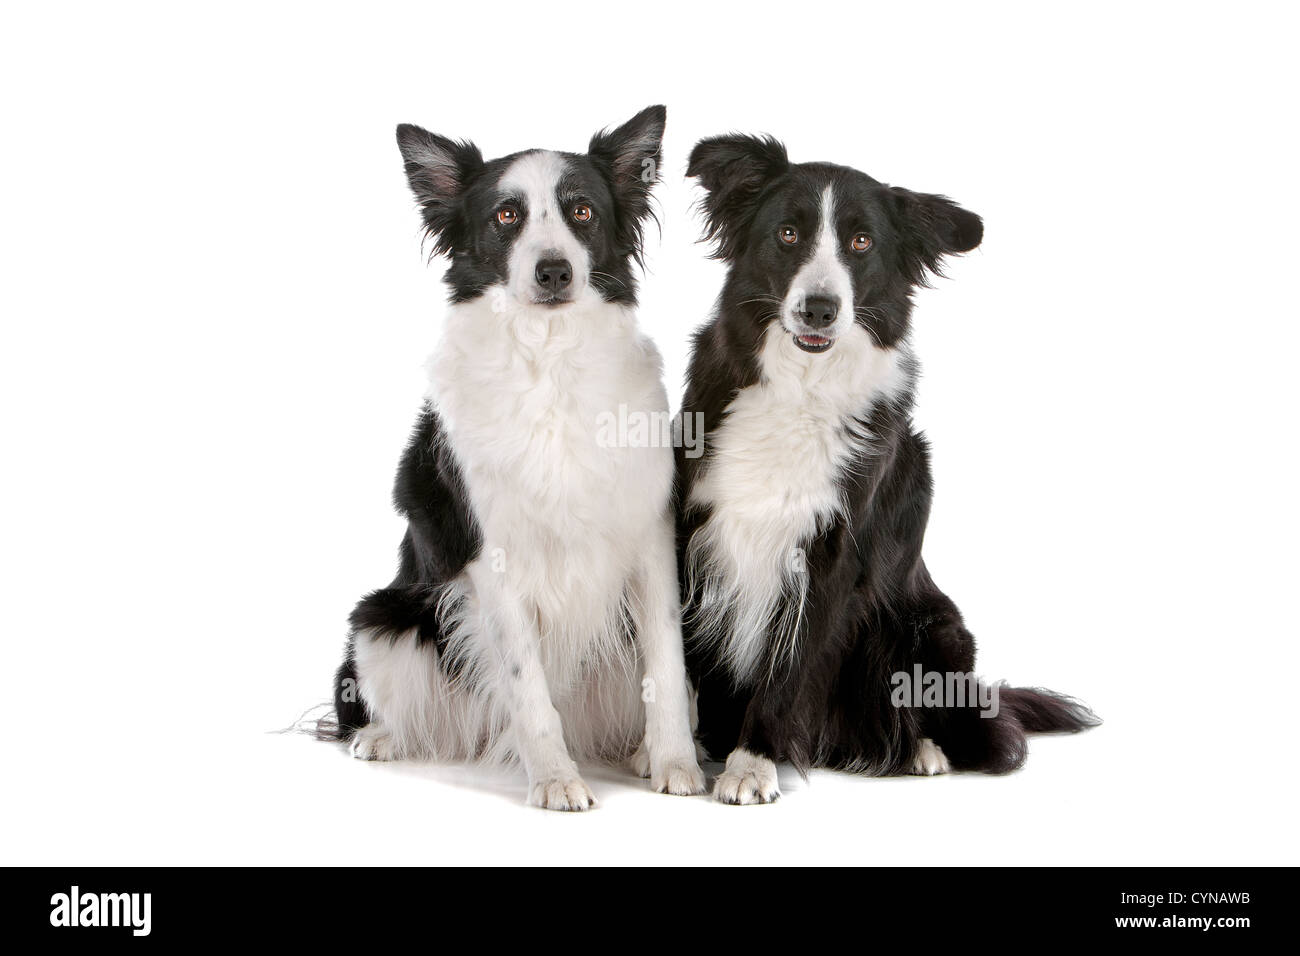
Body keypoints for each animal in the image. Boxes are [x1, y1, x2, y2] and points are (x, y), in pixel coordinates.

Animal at [330, 108, 707, 811]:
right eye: (507, 216)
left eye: (582, 211)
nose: (554, 270)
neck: (549, 357)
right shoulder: (493, 558)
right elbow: (527, 685)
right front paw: (555, 778)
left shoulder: (649, 536)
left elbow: (667, 666)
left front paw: (676, 761)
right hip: (381, 619)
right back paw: (382, 737)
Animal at [681, 134, 1097, 806]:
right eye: (788, 233)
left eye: (861, 243)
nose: (820, 309)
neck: (802, 388)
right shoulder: (694, 524)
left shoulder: (829, 556)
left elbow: (786, 669)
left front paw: (752, 763)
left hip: (933, 632)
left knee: (982, 734)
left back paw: (921, 751)